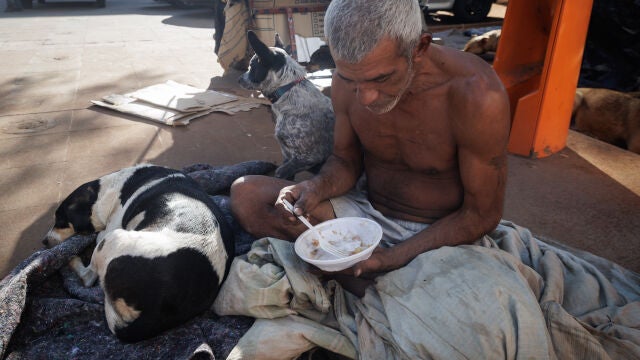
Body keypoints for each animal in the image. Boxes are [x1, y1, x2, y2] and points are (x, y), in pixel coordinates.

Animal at [45, 165, 235, 342]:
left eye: (60, 220)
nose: (44, 242)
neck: (113, 187)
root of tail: (158, 311)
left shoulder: (110, 228)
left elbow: (98, 238)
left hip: (114, 239)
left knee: (87, 277)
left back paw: (70, 260)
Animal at [236, 31, 336, 180]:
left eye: (252, 67)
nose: (239, 79)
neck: (287, 89)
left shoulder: (306, 158)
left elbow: (280, 173)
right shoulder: (287, 155)